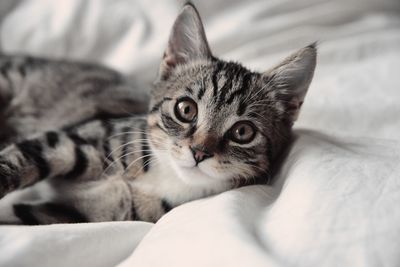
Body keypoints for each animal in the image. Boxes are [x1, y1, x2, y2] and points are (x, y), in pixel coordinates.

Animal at [0, 3, 316, 226]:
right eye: (186, 109)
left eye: (243, 132)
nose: (199, 152)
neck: (167, 175)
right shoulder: (85, 137)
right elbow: (21, 157)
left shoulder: (92, 214)